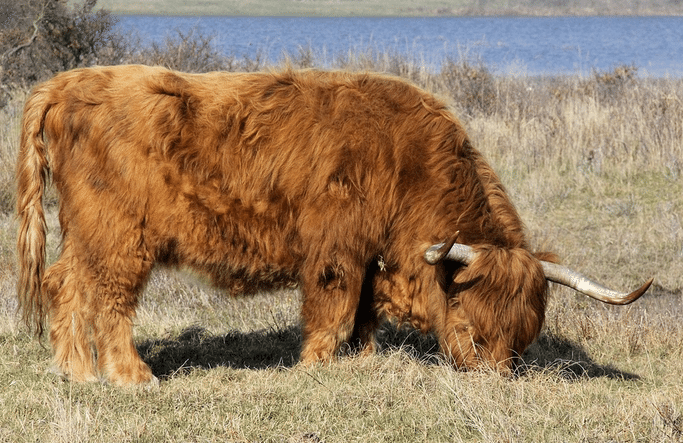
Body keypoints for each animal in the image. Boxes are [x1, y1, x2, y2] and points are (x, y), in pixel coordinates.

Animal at [16, 65, 652, 386]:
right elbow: (335, 305)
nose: (494, 381)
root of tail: (67, 81)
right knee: (110, 299)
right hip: (120, 233)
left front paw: (363, 357)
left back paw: (76, 372)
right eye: (473, 333)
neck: (407, 162)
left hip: (86, 232)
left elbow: (366, 308)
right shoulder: (335, 247)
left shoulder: (373, 252)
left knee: (64, 284)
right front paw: (317, 364)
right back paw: (130, 376)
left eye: (521, 343)